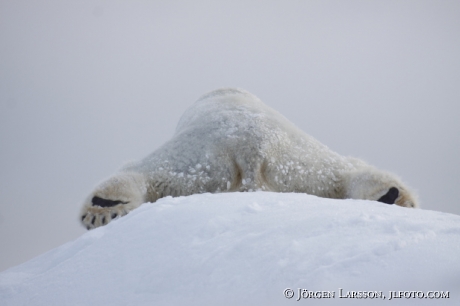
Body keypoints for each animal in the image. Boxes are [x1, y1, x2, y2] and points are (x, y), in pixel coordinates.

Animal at [81, 87, 418, 228]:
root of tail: (250, 149)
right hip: (302, 164)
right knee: (347, 173)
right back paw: (392, 196)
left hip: (193, 163)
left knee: (137, 172)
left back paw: (101, 209)